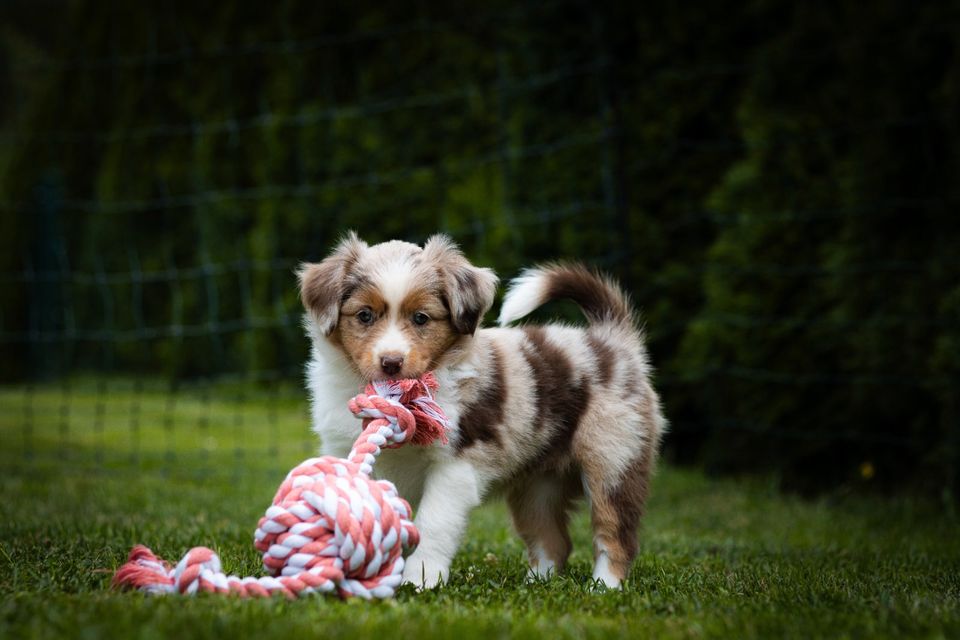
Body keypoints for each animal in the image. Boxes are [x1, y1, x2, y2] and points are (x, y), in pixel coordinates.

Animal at [300, 232, 668, 588]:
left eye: (421, 318)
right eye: (364, 315)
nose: (391, 363)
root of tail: (611, 338)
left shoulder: (455, 466)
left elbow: (433, 524)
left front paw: (420, 580)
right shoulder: (347, 450)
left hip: (614, 459)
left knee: (615, 534)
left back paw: (603, 587)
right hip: (538, 482)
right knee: (553, 539)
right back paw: (536, 584)